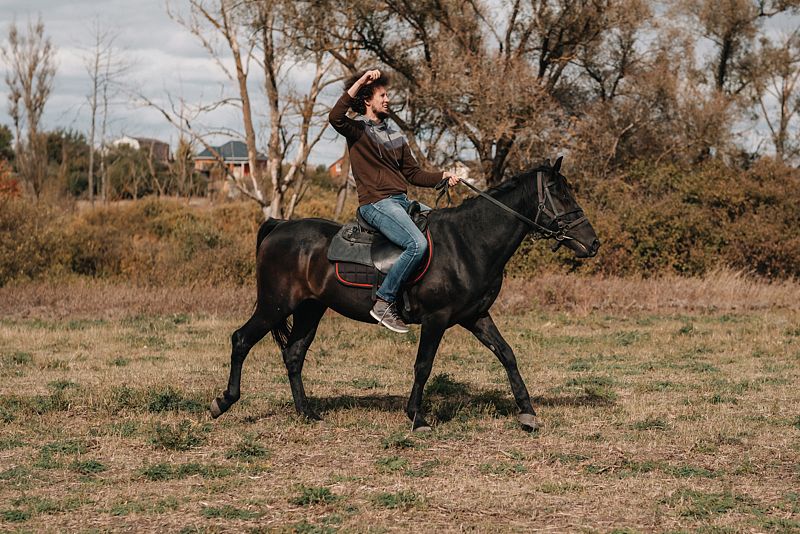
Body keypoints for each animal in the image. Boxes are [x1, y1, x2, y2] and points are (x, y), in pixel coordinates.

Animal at [209, 156, 599, 432]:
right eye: (560, 193)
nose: (593, 243)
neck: (468, 242)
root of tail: (279, 226)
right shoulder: (436, 319)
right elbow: (423, 365)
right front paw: (417, 417)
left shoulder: (476, 316)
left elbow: (507, 355)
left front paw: (528, 413)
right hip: (275, 305)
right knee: (241, 339)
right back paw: (223, 402)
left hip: (310, 309)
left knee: (293, 355)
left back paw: (307, 413)